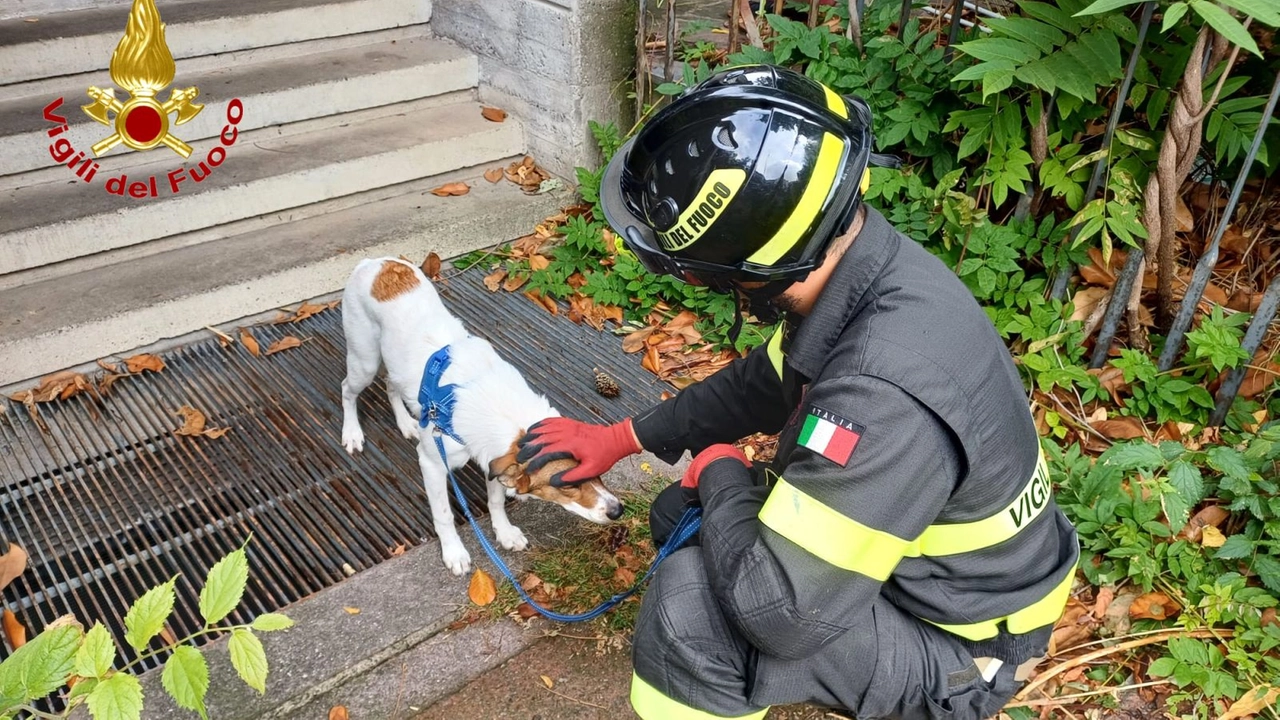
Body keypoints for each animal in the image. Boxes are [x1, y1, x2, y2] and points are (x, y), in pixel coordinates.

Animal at [337, 256, 622, 571]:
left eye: (598, 469)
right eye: (567, 484)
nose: (618, 511)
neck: (502, 407)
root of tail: (375, 262)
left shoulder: (493, 458)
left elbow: (495, 500)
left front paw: (505, 531)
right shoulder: (432, 464)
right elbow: (444, 515)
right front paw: (453, 551)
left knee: (390, 385)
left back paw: (405, 423)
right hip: (364, 361)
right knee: (347, 389)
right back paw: (352, 433)